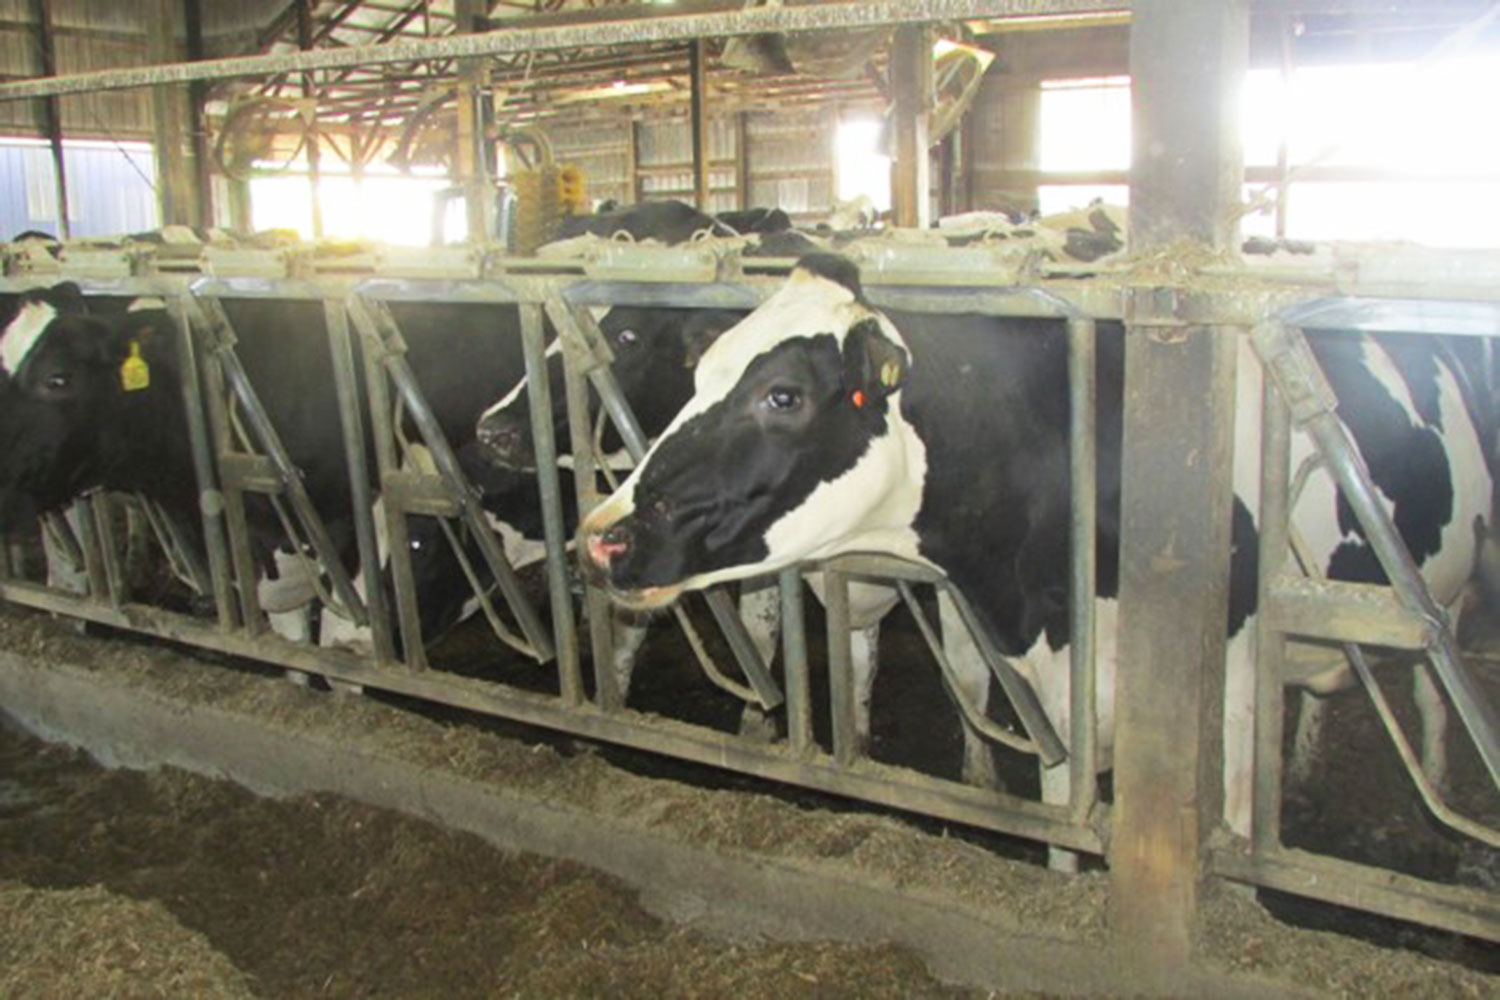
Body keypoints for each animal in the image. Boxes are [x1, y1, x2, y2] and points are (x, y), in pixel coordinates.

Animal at [576, 254, 1494, 862]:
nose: (603, 532)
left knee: (1433, 689)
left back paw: (1439, 796)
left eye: (784, 395)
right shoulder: (1061, 700)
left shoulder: (1227, 703)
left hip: (1449, 594)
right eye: (701, 373)